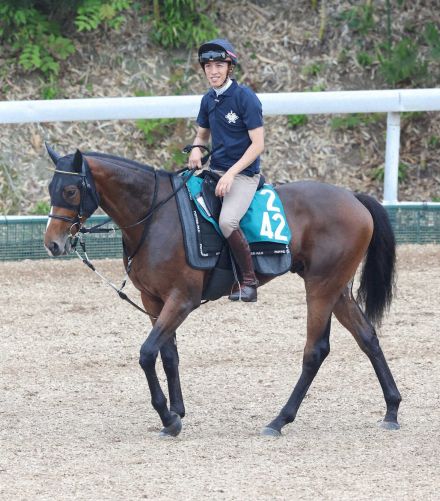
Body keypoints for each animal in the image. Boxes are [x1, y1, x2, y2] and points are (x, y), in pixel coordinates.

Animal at [43, 146, 400, 438]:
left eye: (71, 190)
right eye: (51, 189)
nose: (52, 244)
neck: (156, 216)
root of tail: (353, 198)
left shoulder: (181, 300)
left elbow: (147, 353)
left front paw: (167, 417)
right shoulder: (154, 300)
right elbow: (168, 354)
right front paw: (176, 412)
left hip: (321, 288)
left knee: (315, 351)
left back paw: (279, 420)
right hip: (337, 290)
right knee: (367, 337)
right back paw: (392, 409)